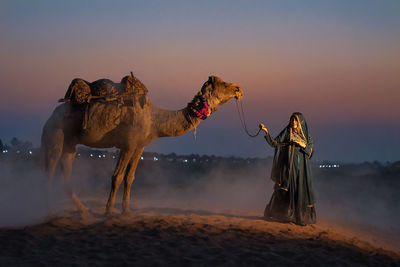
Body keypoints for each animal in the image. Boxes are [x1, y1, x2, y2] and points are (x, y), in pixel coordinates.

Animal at [42, 75, 244, 216]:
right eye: (224, 84)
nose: (239, 89)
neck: (155, 119)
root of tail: (50, 116)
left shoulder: (139, 147)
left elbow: (130, 178)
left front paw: (126, 211)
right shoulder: (128, 145)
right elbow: (116, 177)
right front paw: (109, 211)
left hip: (70, 144)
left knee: (66, 171)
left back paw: (82, 210)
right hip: (55, 135)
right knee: (50, 170)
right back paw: (50, 211)